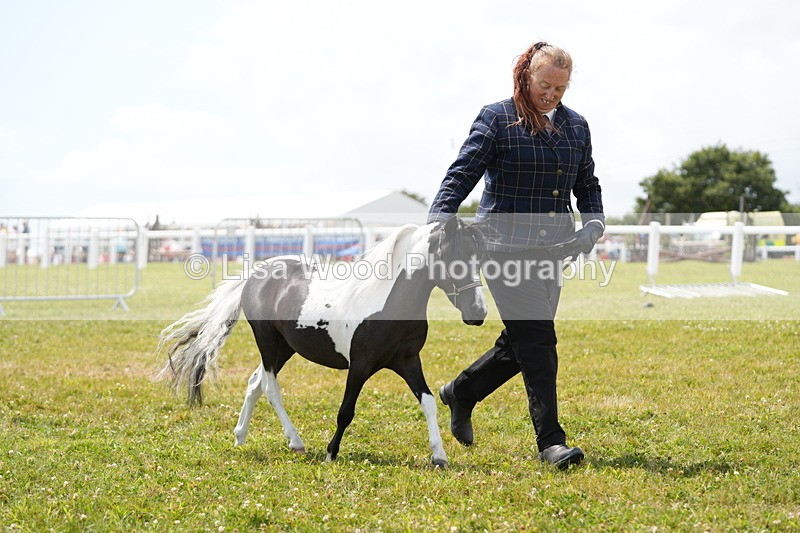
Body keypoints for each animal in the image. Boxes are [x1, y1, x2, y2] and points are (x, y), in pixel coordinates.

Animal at [157, 216, 487, 467]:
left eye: (478, 258)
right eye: (454, 258)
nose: (479, 313)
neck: (387, 302)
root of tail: (255, 274)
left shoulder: (408, 361)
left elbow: (429, 402)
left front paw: (439, 456)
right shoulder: (360, 365)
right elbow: (346, 411)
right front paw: (331, 453)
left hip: (285, 348)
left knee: (254, 383)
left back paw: (240, 437)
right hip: (267, 341)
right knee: (269, 387)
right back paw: (295, 442)